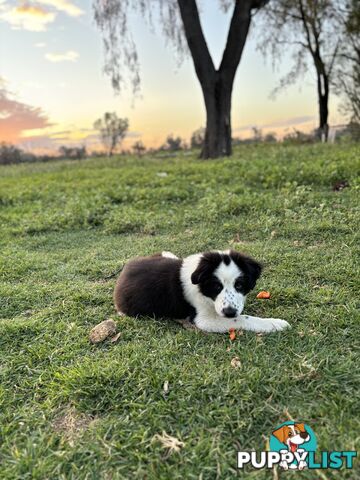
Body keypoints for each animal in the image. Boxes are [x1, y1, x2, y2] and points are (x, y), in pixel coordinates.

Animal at [114, 249, 292, 332]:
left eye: (239, 285)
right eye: (217, 286)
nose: (229, 312)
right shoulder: (205, 320)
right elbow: (242, 319)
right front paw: (274, 323)